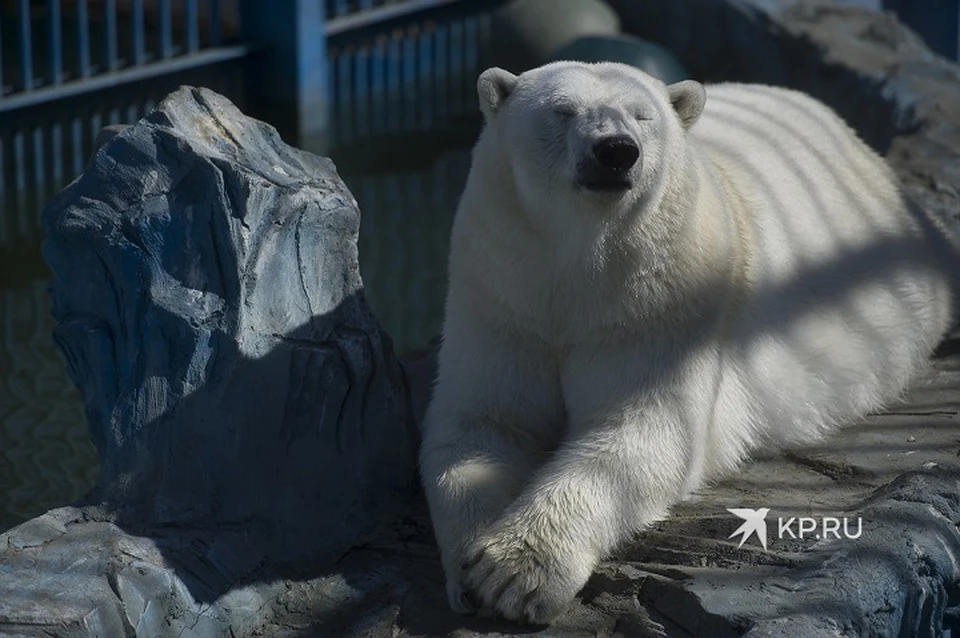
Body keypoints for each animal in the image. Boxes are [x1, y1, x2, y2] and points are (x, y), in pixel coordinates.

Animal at [416, 62, 956, 628]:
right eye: (562, 110)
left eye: (642, 115)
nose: (616, 151)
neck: (580, 263)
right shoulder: (503, 294)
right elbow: (481, 425)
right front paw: (471, 567)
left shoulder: (664, 299)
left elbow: (645, 430)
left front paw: (514, 573)